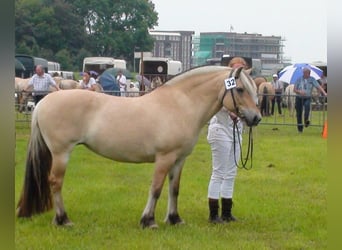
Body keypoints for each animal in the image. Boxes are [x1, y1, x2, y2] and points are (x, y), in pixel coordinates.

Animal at [16, 66, 262, 229]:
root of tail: (43, 103)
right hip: (61, 153)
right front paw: (148, 221)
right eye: (241, 89)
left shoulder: (179, 160)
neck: (180, 105)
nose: (256, 118)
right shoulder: (164, 158)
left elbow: (174, 189)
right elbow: (156, 189)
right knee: (55, 182)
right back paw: (63, 219)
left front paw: (175, 219)